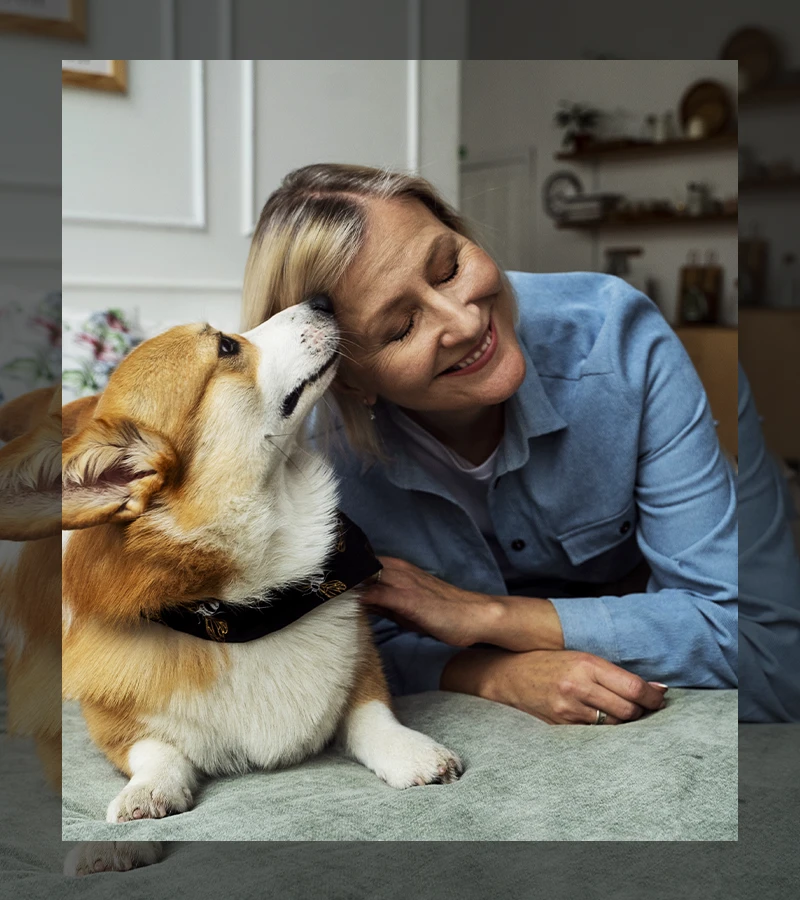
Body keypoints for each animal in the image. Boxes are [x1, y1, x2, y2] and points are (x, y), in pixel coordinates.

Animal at [62, 298, 466, 840]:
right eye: (226, 346)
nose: (323, 299)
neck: (247, 610)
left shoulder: (363, 667)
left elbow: (372, 714)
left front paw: (412, 753)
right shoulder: (112, 722)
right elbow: (156, 750)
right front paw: (146, 794)